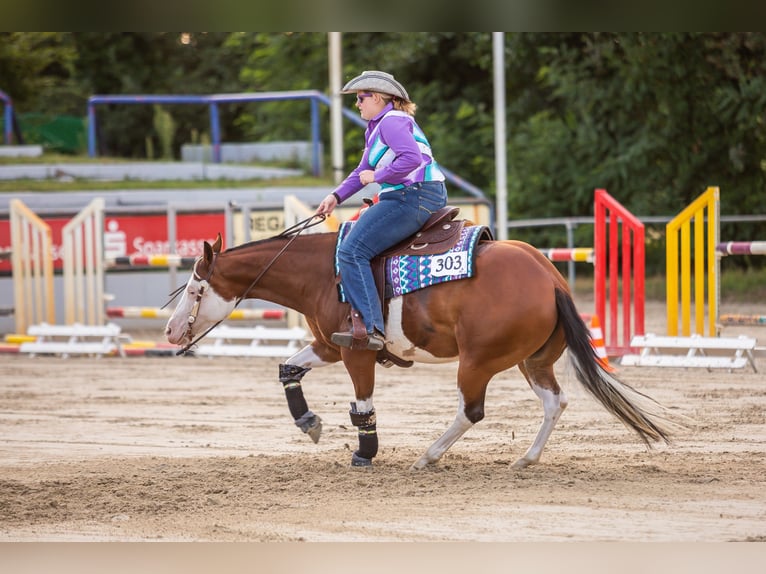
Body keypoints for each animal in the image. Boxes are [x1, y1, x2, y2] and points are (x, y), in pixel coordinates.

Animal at [164, 216, 677, 469]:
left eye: (194, 289)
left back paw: (429, 456)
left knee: (472, 410)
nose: (170, 332)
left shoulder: (356, 351)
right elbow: (288, 369)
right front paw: (308, 422)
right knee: (556, 401)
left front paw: (365, 454)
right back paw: (526, 459)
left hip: (478, 361)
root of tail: (550, 278)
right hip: (532, 361)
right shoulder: (329, 346)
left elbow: (363, 406)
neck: (324, 272)